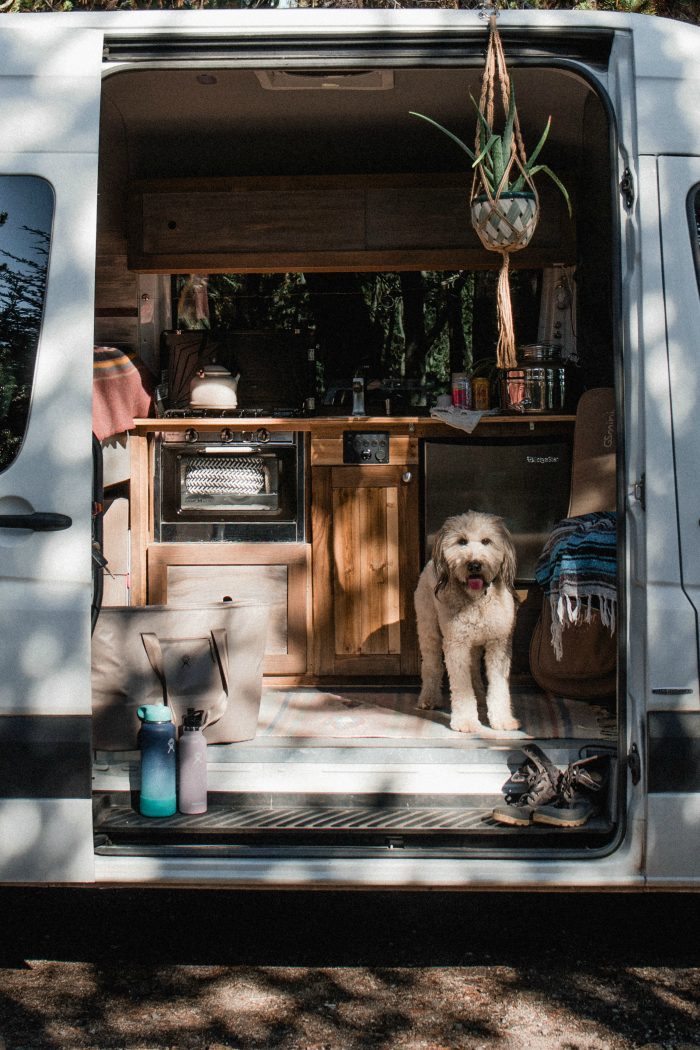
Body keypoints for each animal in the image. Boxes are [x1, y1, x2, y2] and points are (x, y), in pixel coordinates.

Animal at [415, 508, 520, 730]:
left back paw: (479, 696)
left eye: (487, 541)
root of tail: (431, 561)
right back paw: (429, 698)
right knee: (432, 665)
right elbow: (461, 688)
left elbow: (499, 687)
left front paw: (502, 720)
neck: (477, 599)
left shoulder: (499, 644)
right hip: (429, 629)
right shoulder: (456, 644)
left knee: (473, 668)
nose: (474, 565)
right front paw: (466, 721)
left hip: (474, 644)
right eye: (461, 541)